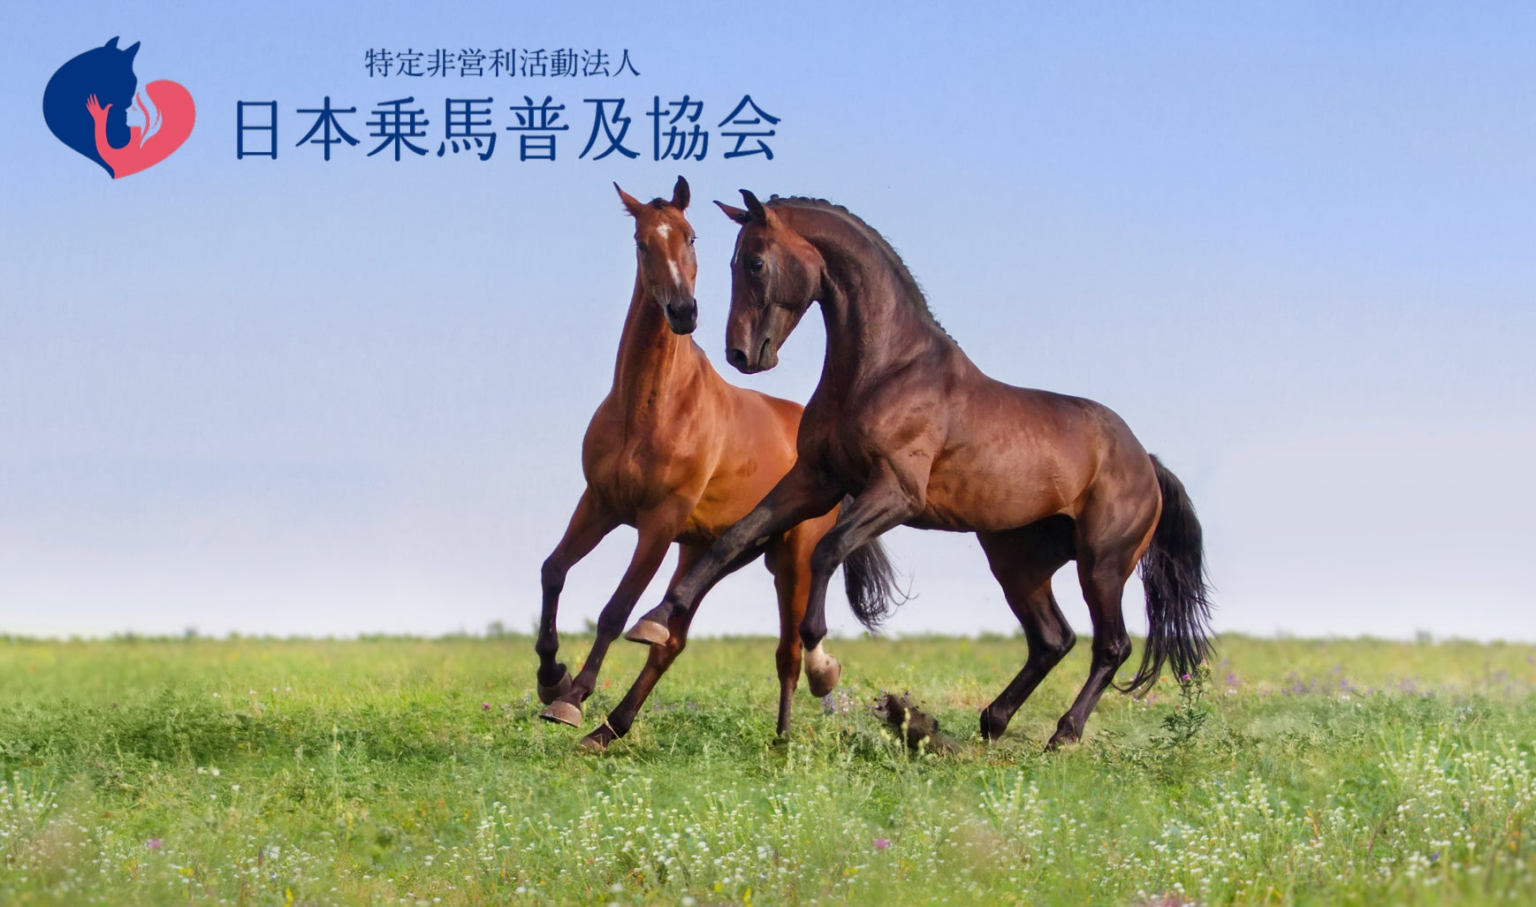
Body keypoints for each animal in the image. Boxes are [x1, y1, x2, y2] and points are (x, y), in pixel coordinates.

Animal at [535, 178, 900, 752]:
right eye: (642, 242)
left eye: (691, 237)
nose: (683, 311)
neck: (651, 408)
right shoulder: (599, 503)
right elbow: (553, 571)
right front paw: (551, 678)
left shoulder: (658, 522)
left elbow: (615, 610)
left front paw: (570, 699)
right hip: (709, 551)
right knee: (671, 638)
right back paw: (610, 728)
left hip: (790, 559)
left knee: (786, 652)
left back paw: (785, 734)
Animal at [625, 190, 1213, 749]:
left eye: (754, 262)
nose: (742, 354)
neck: (885, 370)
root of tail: (1146, 461)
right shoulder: (815, 481)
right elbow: (735, 538)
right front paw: (655, 618)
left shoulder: (895, 493)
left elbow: (827, 550)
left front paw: (822, 666)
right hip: (1018, 563)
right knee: (1053, 640)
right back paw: (992, 722)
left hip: (1103, 564)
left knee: (1111, 645)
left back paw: (1062, 736)